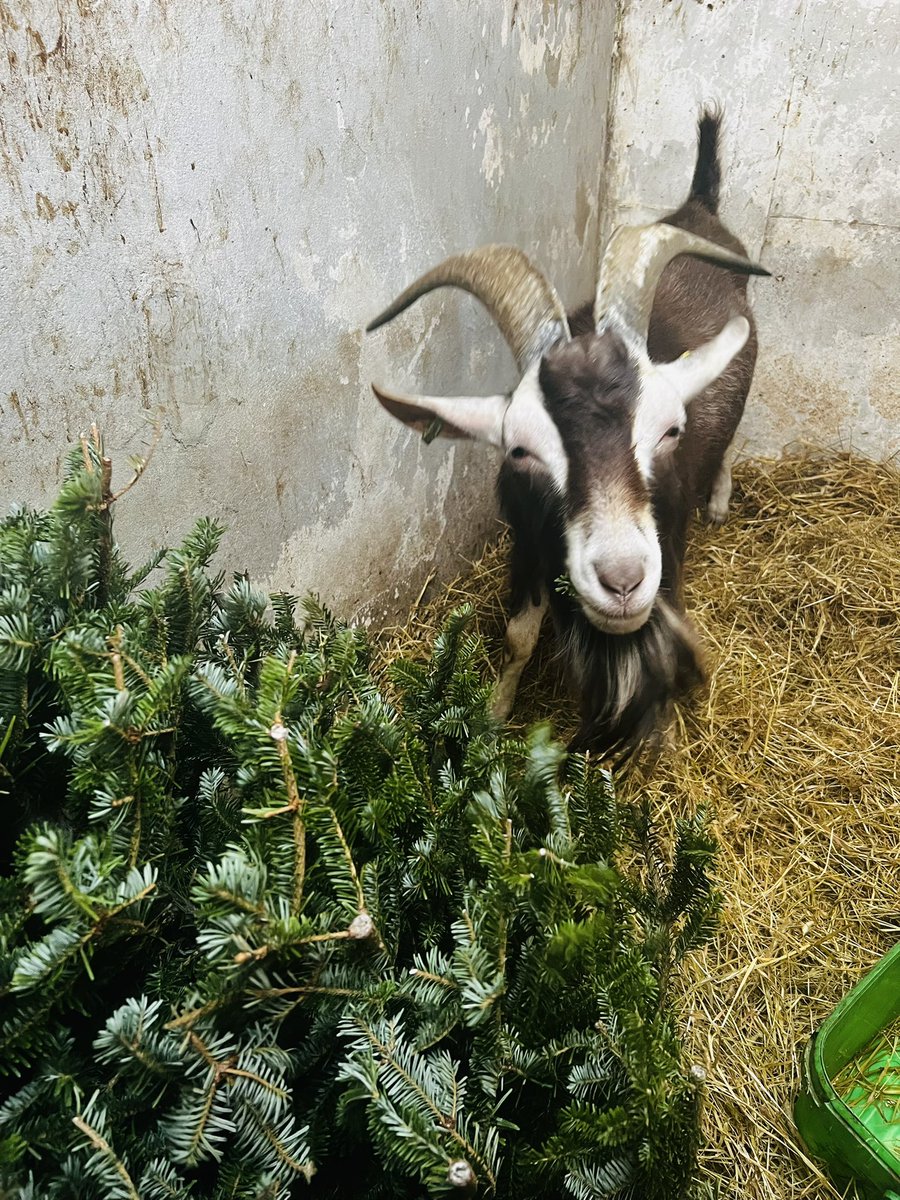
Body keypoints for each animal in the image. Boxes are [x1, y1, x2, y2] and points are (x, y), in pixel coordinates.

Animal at [366, 110, 769, 758]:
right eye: (521, 450)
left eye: (670, 431)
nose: (623, 579)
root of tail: (697, 208)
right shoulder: (526, 541)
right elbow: (518, 637)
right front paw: (495, 712)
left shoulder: (669, 541)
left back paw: (720, 501)